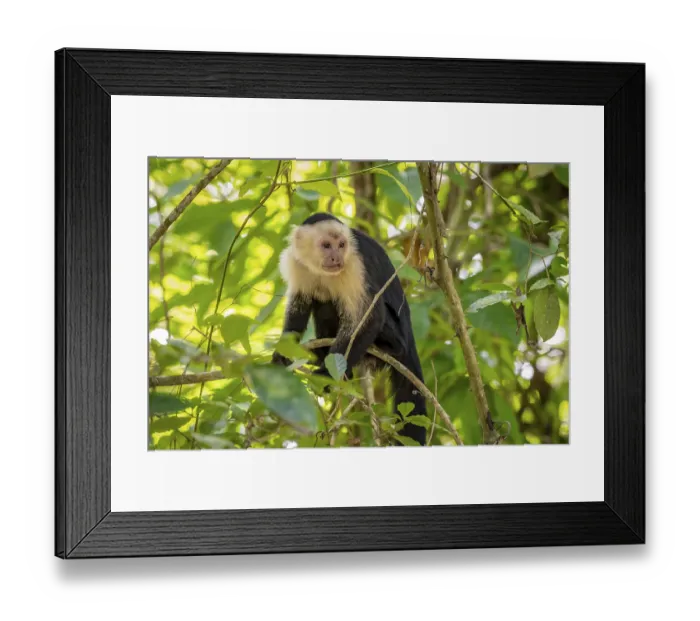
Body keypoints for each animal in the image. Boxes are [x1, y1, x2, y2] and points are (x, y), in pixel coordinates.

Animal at [272, 212, 427, 446]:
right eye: (326, 245)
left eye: (341, 245)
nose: (336, 257)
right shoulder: (296, 262)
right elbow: (299, 306)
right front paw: (282, 354)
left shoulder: (354, 263)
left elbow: (371, 316)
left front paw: (327, 374)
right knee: (323, 299)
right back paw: (323, 354)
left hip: (398, 338)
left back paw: (383, 350)